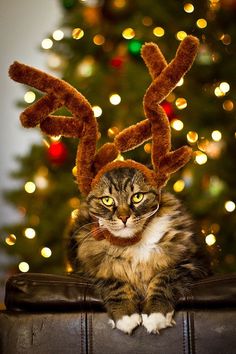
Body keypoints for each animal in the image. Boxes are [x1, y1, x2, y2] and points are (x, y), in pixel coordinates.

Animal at [68, 166, 210, 334]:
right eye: (107, 200)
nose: (124, 218)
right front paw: (125, 315)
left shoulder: (191, 262)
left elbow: (162, 279)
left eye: (137, 197)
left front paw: (156, 313)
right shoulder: (94, 270)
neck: (132, 243)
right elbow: (116, 285)